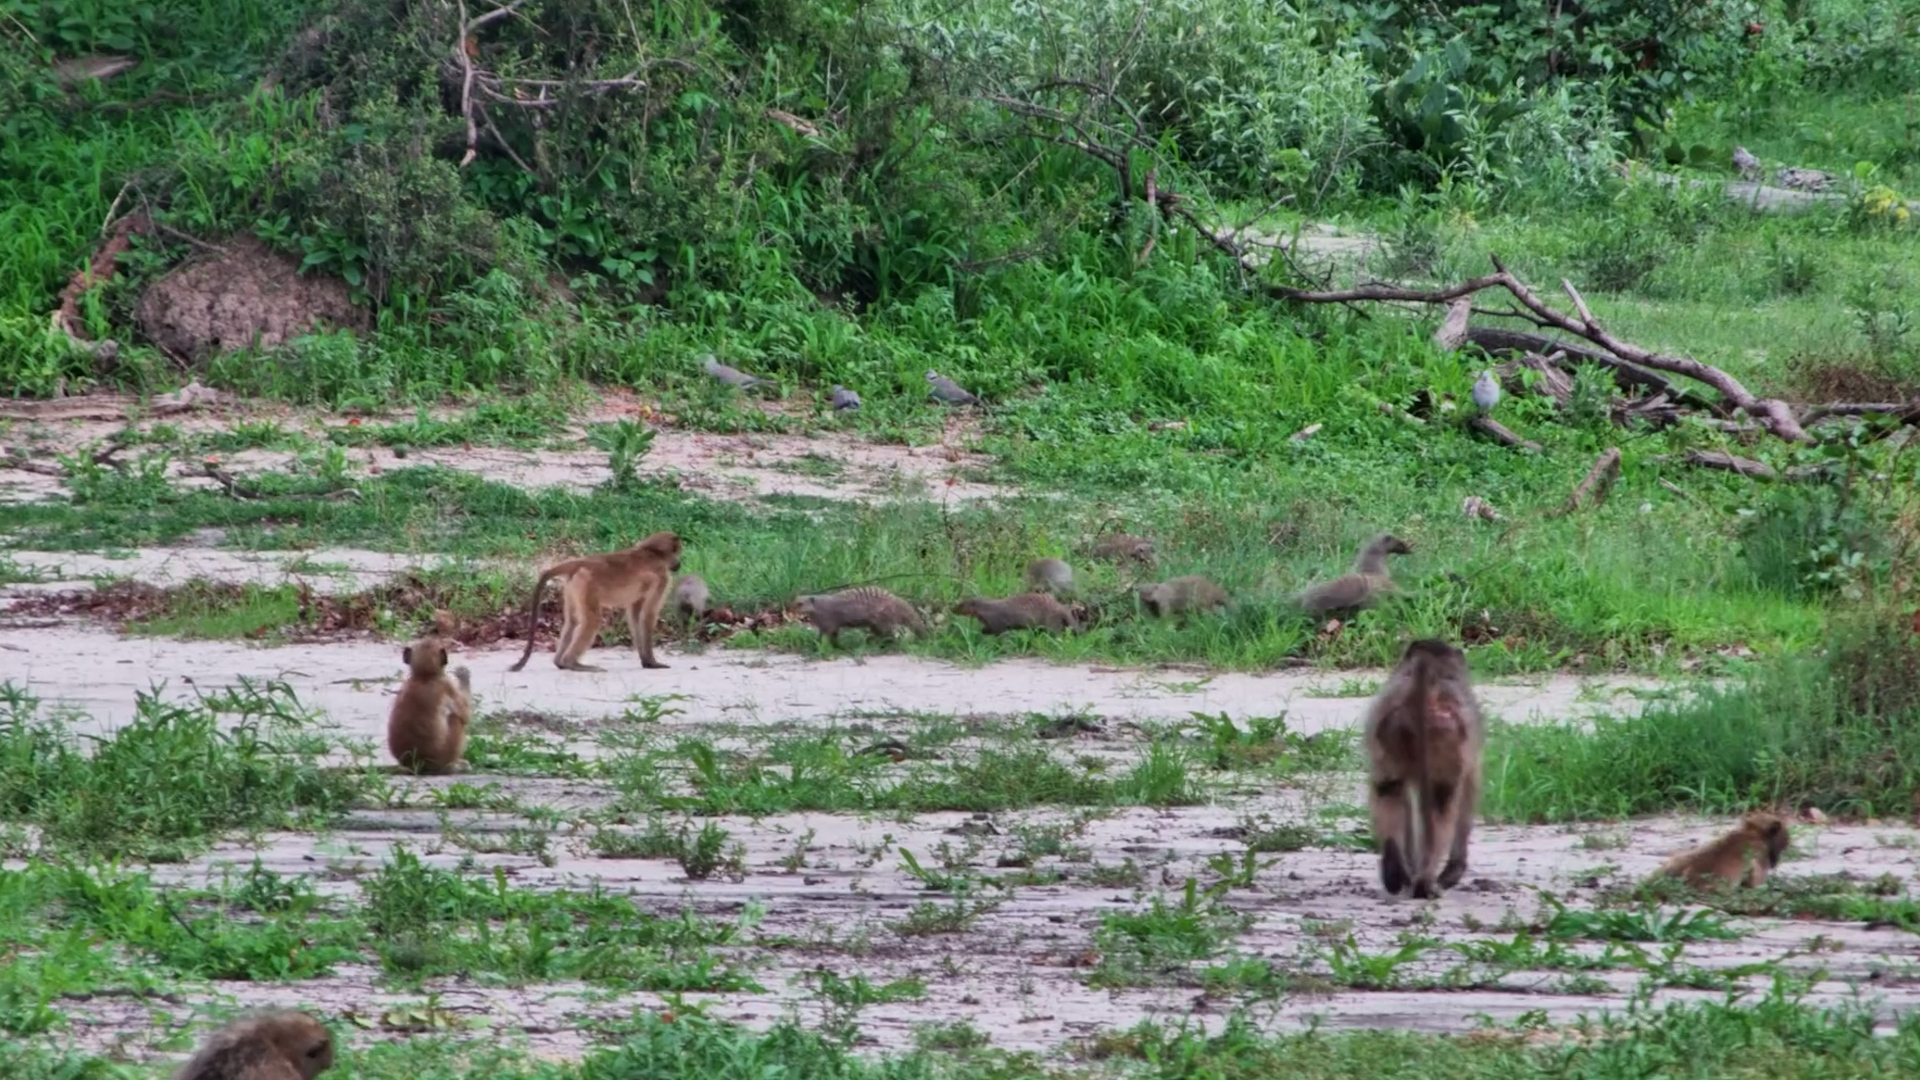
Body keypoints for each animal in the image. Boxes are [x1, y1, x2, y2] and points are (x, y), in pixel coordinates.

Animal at [387, 637, 472, 775]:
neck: (425, 676)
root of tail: (418, 766)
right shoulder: (446, 683)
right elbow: (466, 716)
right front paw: (463, 674)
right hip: (443, 757)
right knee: (456, 719)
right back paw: (453, 766)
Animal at [508, 531, 682, 672]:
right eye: (677, 553)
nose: (678, 564)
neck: (651, 553)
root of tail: (581, 563)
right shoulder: (662, 577)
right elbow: (647, 616)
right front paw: (652, 662)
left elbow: (635, 616)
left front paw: (645, 661)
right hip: (586, 584)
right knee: (592, 621)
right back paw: (571, 663)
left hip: (573, 586)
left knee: (572, 621)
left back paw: (560, 663)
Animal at [795, 587, 927, 647]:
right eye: (794, 601)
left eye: (800, 604)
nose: (791, 609)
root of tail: (895, 599)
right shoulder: (828, 623)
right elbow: (831, 634)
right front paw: (835, 646)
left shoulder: (829, 619)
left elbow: (827, 634)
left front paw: (820, 645)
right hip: (876, 623)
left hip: (881, 617)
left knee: (888, 634)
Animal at [1363, 638, 1484, 900]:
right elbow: (1467, 791)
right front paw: (1452, 873)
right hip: (1444, 732)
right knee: (1443, 802)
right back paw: (1425, 882)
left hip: (1391, 726)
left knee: (1387, 790)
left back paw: (1395, 873)